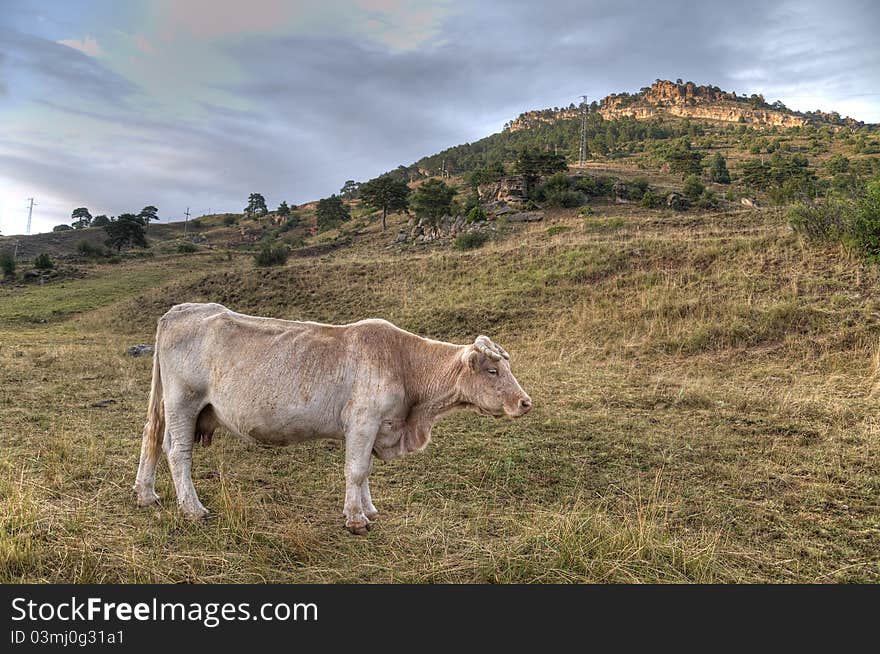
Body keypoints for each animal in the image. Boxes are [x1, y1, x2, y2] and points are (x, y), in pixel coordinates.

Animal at [131, 304, 528, 536]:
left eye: (505, 367)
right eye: (493, 370)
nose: (525, 402)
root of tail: (180, 310)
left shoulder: (374, 427)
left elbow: (365, 471)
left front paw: (369, 510)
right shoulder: (364, 420)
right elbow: (356, 470)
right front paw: (355, 519)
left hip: (169, 405)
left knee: (152, 437)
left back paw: (146, 494)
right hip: (183, 401)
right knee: (177, 452)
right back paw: (193, 509)